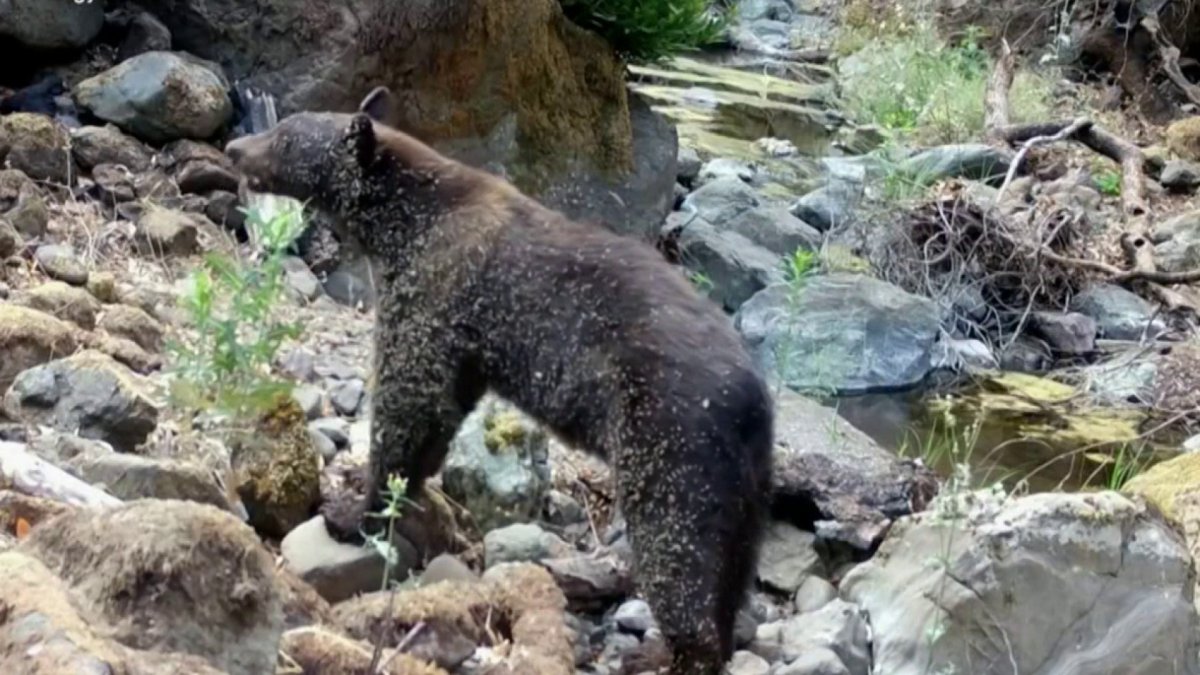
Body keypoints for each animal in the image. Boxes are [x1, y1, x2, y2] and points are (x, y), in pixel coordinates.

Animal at [224, 86, 775, 675]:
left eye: (285, 137)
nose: (235, 147)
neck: (404, 221)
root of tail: (754, 401)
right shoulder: (464, 340)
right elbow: (440, 409)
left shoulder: (434, 289)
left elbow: (407, 397)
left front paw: (355, 508)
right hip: (744, 491)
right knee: (731, 573)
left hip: (671, 446)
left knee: (680, 554)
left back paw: (661, 653)